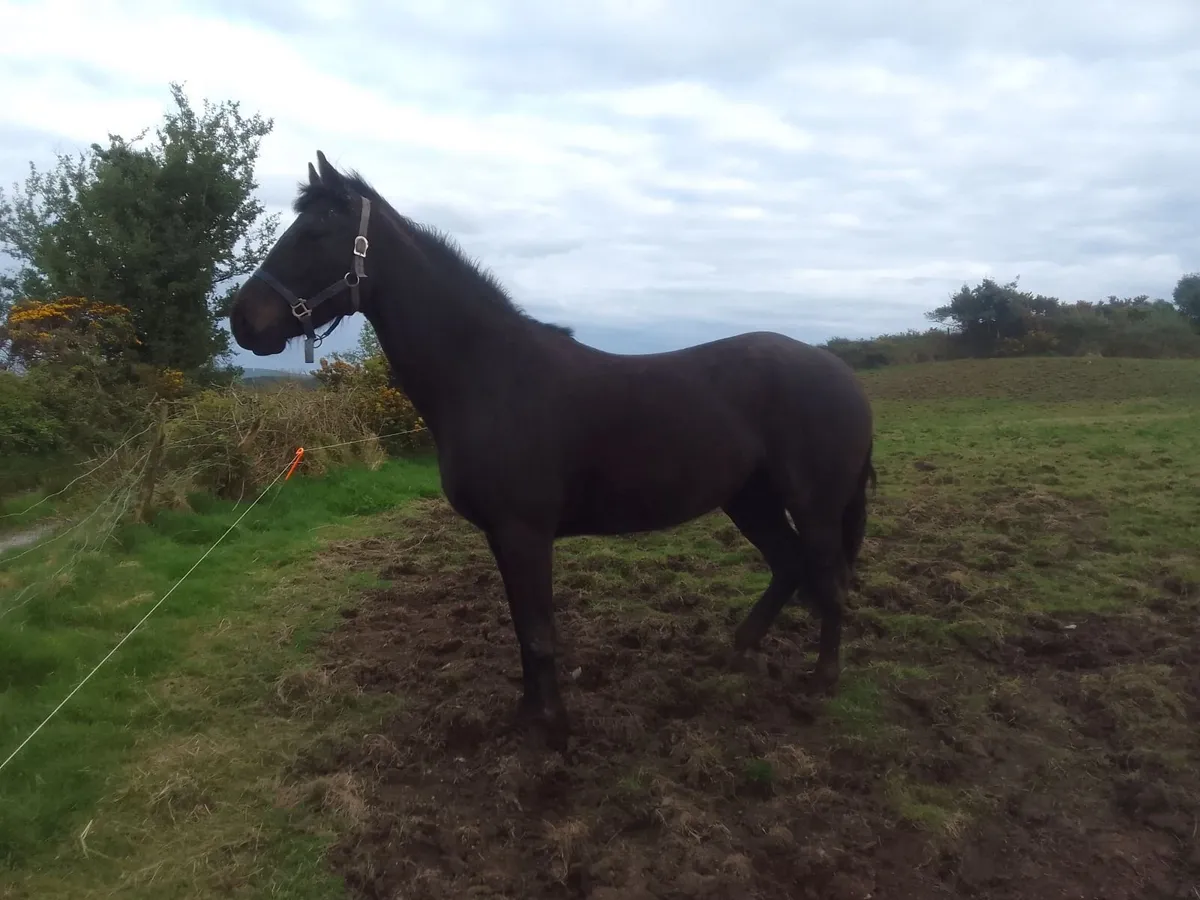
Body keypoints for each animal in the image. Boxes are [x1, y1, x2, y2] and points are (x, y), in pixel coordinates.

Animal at [229, 151, 876, 753]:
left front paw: (554, 730)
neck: (488, 375)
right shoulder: (502, 536)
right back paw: (737, 652)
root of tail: (841, 374)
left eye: (314, 232)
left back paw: (821, 680)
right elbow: (523, 629)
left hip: (814, 505)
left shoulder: (524, 532)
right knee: (789, 565)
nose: (242, 321)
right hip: (749, 498)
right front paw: (527, 715)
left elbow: (540, 632)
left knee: (826, 577)